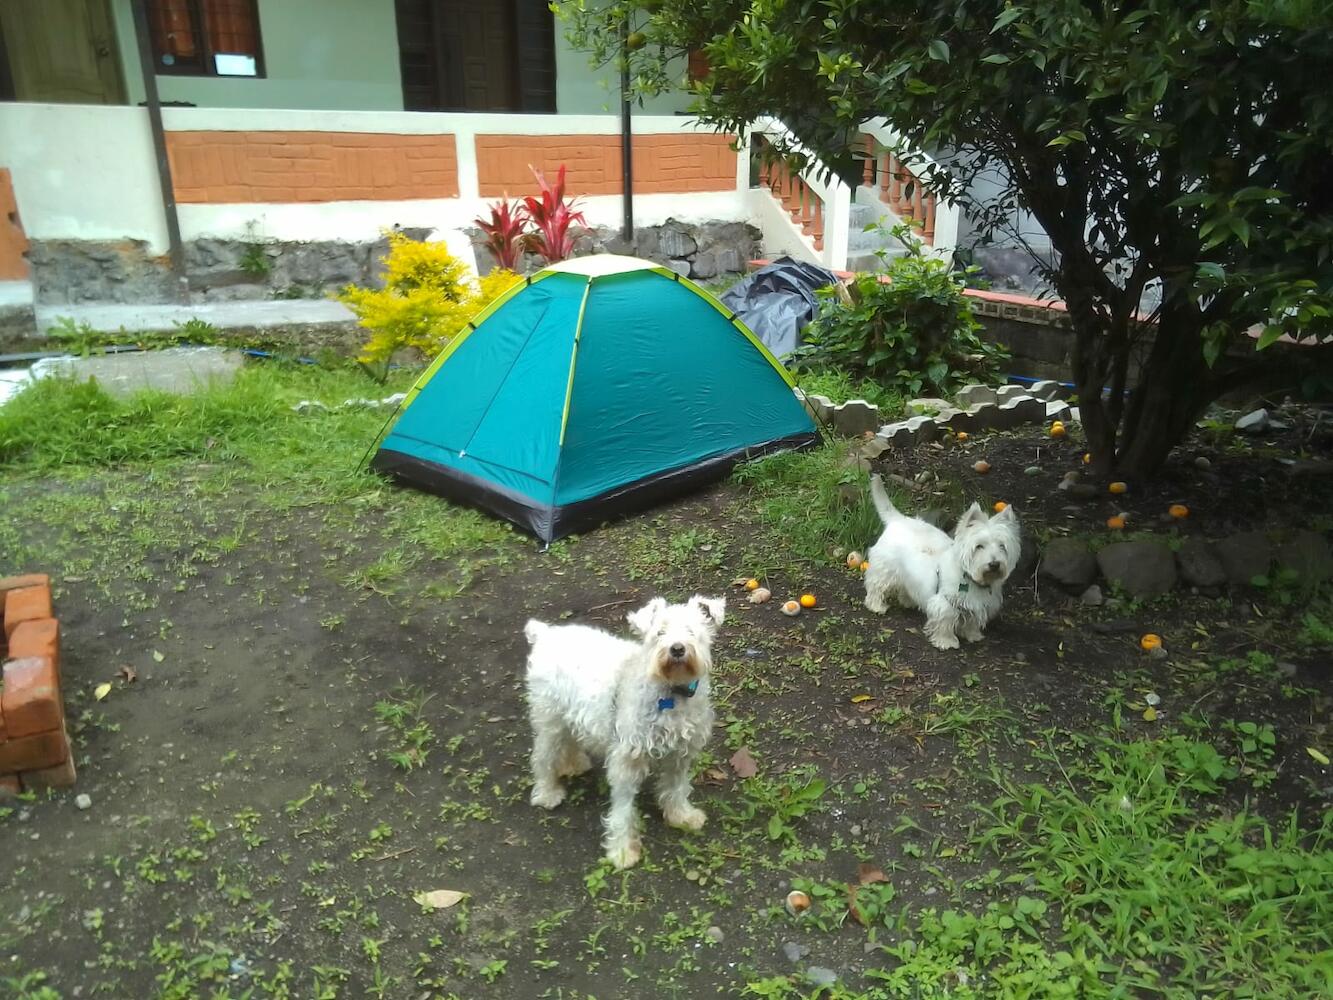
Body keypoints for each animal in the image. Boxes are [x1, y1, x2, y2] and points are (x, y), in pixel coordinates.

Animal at [525, 594, 725, 869]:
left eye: (691, 631)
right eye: (659, 633)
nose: (677, 649)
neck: (671, 692)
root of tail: (545, 633)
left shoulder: (680, 754)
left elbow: (676, 787)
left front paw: (681, 816)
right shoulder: (626, 762)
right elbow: (623, 810)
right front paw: (621, 851)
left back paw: (574, 764)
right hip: (550, 720)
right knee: (542, 757)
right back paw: (547, 793)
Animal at [863, 474, 1018, 653]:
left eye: (1002, 546)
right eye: (979, 546)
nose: (994, 564)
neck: (970, 578)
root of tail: (898, 520)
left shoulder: (977, 605)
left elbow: (971, 621)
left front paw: (973, 635)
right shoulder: (945, 603)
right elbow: (945, 622)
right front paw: (946, 641)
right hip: (885, 569)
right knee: (876, 586)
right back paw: (876, 606)